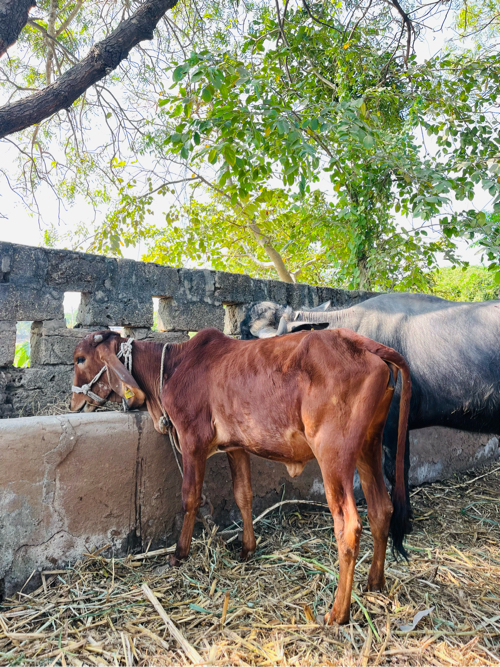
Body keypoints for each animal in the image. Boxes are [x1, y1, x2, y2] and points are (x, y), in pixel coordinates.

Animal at [71, 328, 414, 628]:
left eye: (79, 359)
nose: (73, 403)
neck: (173, 366)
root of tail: (364, 344)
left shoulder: (193, 441)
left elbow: (190, 497)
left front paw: (179, 554)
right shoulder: (237, 448)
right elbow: (243, 495)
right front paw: (247, 549)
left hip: (333, 455)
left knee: (349, 527)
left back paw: (338, 612)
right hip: (369, 445)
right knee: (381, 509)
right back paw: (374, 583)